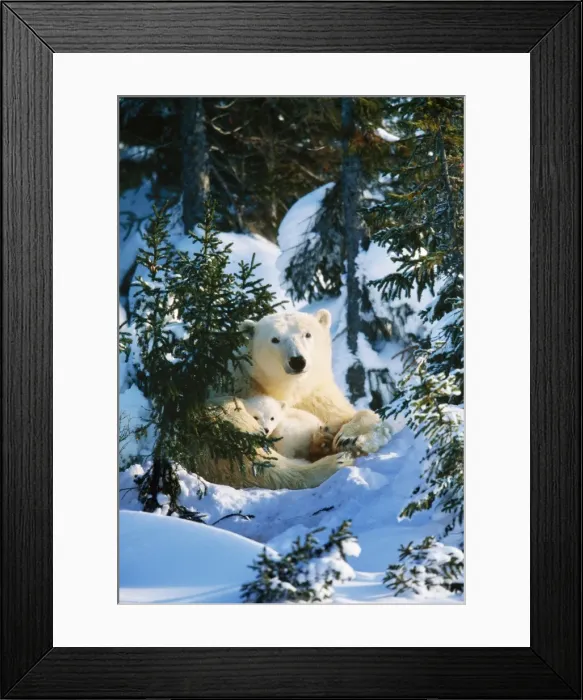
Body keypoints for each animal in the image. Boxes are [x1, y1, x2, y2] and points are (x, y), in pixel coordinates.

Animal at [196, 309, 384, 490]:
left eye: (307, 334)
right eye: (275, 339)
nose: (297, 361)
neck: (285, 388)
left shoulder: (313, 394)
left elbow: (345, 414)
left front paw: (348, 438)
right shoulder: (236, 385)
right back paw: (332, 463)